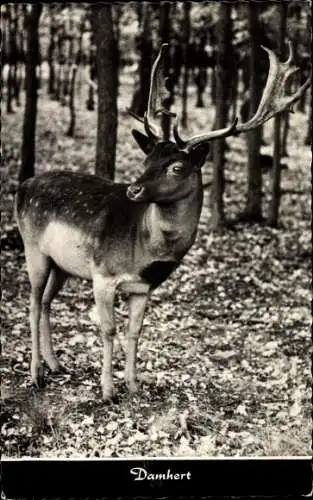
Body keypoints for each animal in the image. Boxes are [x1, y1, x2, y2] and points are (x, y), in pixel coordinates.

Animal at [15, 43, 310, 402]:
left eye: (177, 168)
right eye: (147, 160)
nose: (133, 189)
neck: (144, 249)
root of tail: (23, 186)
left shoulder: (144, 287)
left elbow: (135, 331)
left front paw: (133, 386)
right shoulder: (102, 273)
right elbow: (109, 329)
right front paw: (107, 391)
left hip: (63, 265)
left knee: (46, 301)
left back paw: (55, 364)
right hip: (33, 247)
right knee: (32, 303)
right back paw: (36, 374)